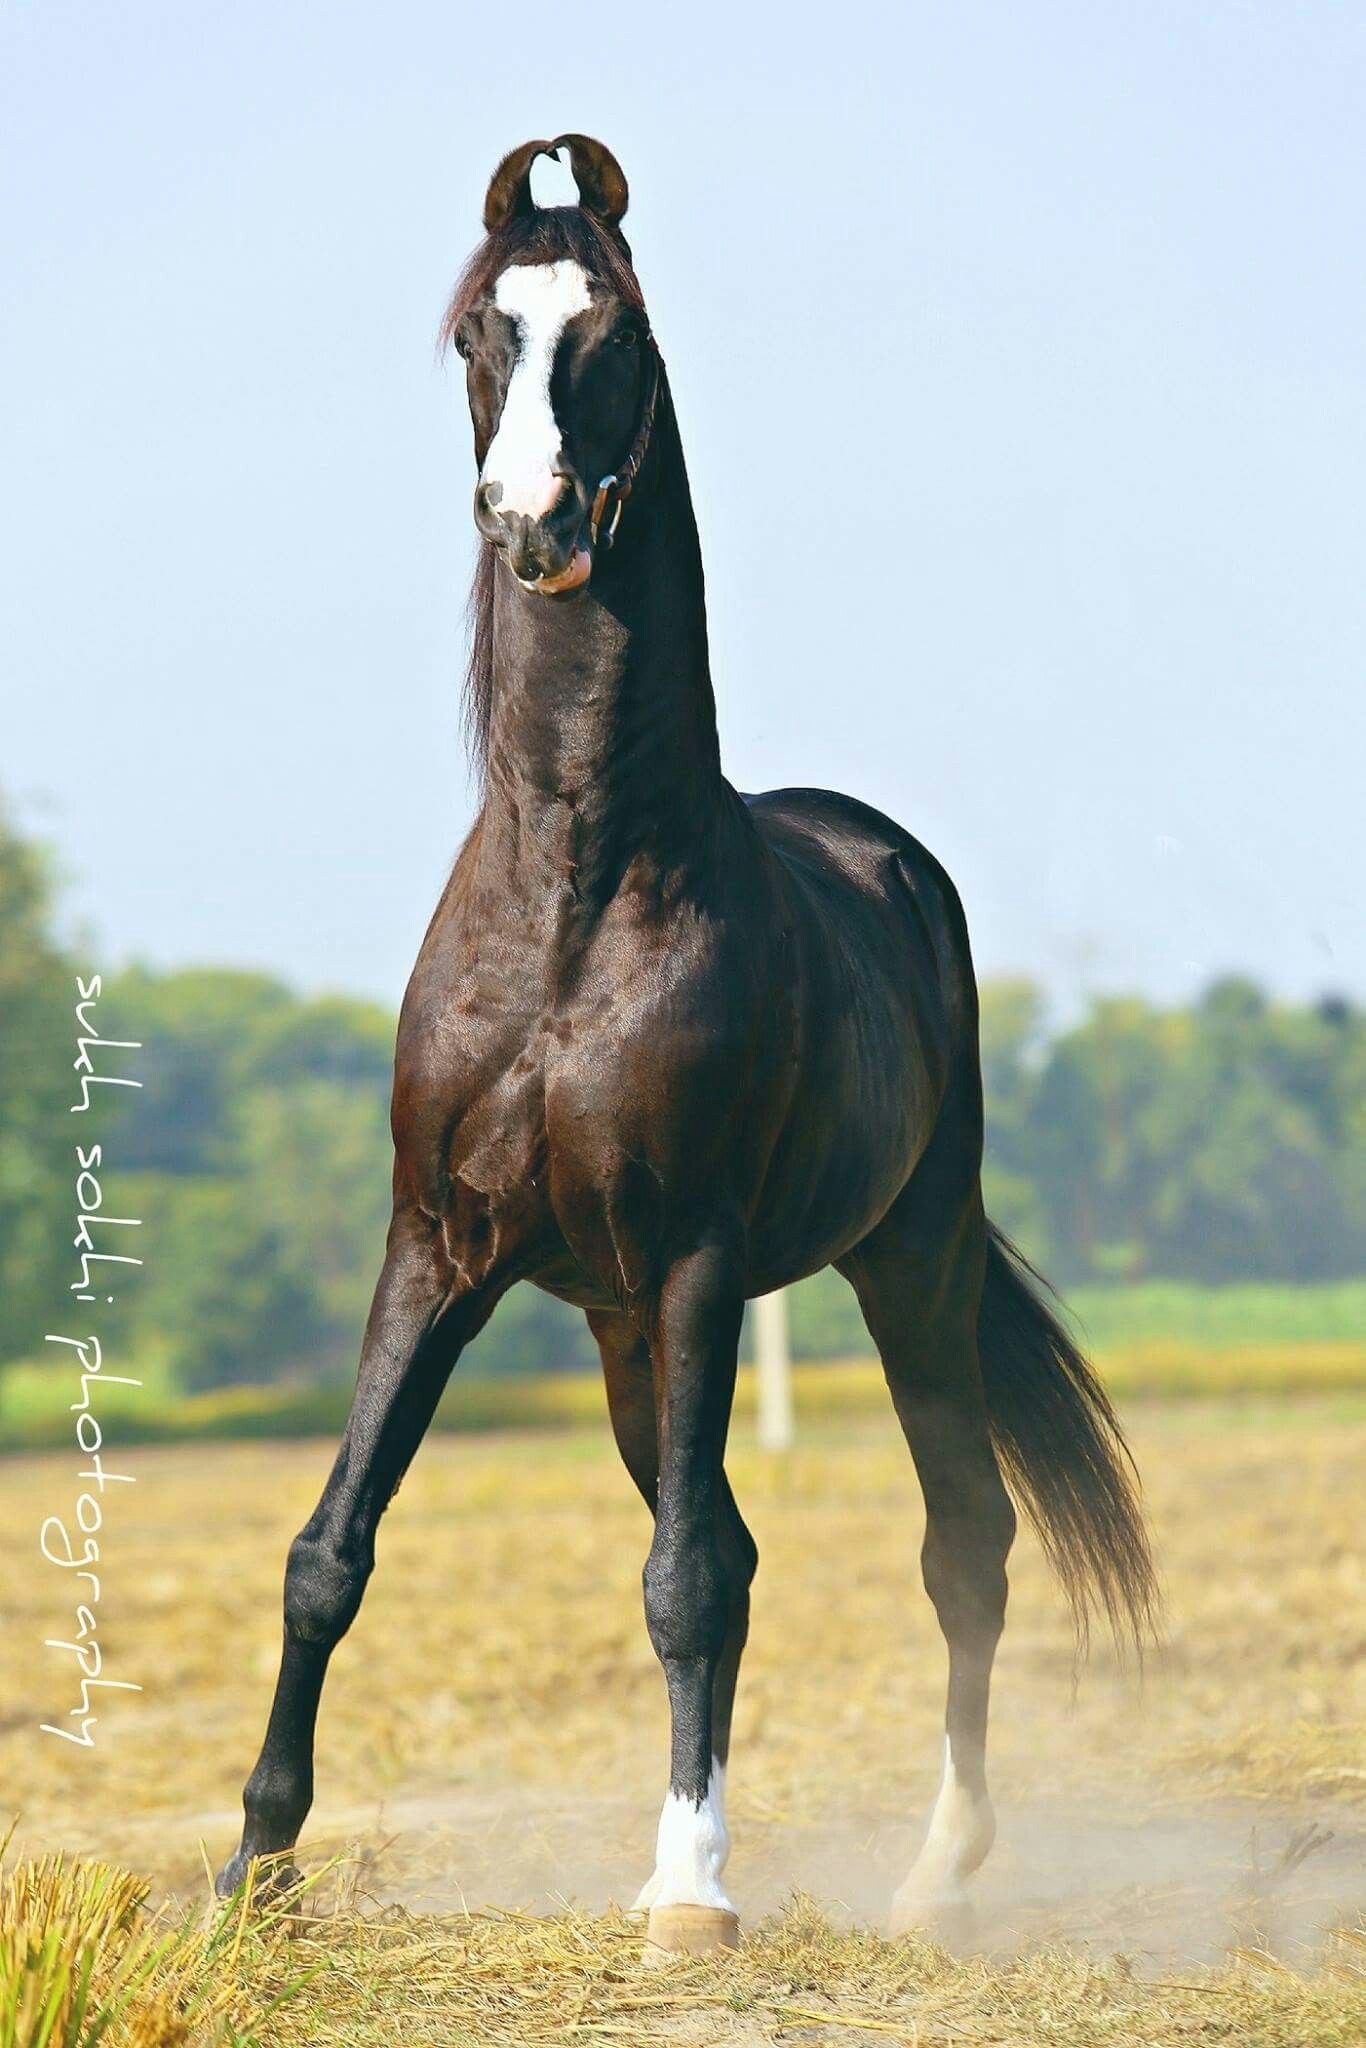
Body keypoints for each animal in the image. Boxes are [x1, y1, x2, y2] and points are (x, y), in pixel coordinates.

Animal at [219, 132, 1163, 1949]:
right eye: (476, 331)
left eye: (616, 333)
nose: (530, 525)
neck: (578, 892)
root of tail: (883, 854)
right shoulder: (436, 1246)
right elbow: (328, 1549)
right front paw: (250, 1872)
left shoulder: (696, 1256)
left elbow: (690, 1578)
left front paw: (688, 1891)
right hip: (618, 1334)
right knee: (723, 1528)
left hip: (903, 1261)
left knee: (957, 1540)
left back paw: (936, 1866)